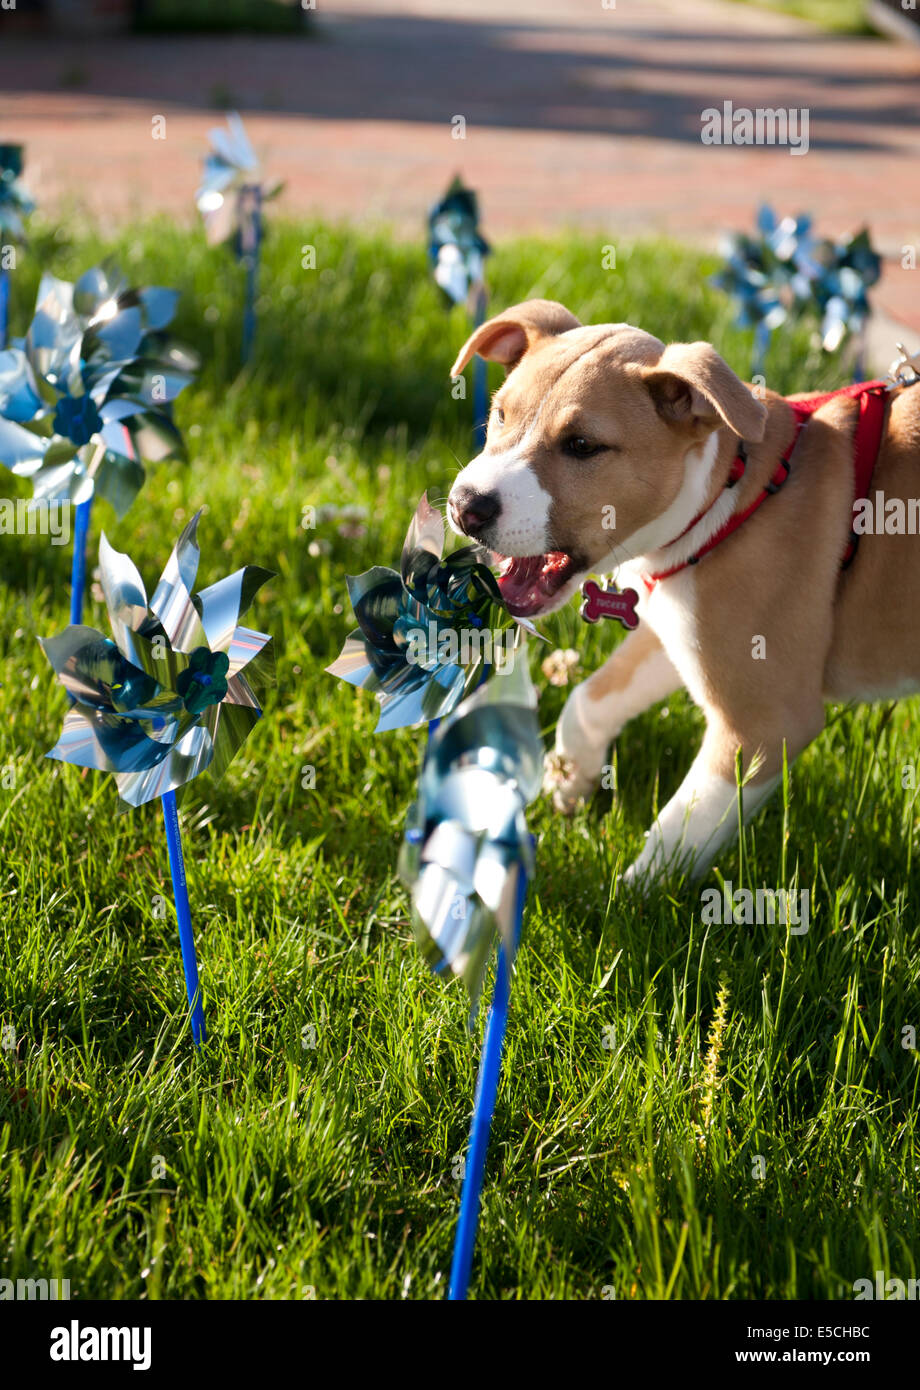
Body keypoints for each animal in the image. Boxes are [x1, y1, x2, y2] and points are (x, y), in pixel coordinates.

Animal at [447, 298, 920, 884]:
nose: (465, 506)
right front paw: (568, 784)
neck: (727, 498)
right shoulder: (675, 622)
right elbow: (588, 702)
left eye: (582, 446)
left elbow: (680, 834)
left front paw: (627, 898)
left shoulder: (764, 722)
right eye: (500, 414)